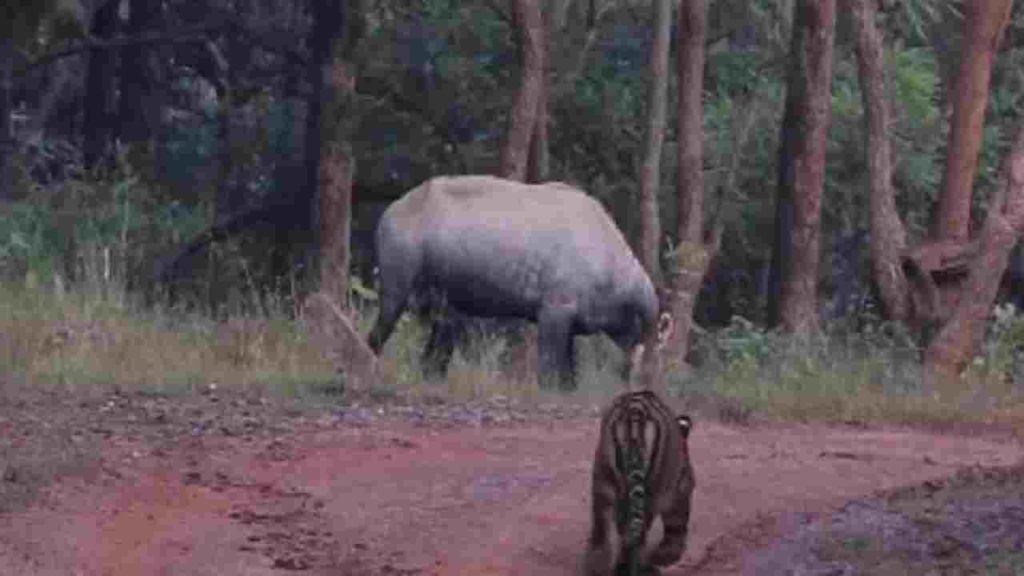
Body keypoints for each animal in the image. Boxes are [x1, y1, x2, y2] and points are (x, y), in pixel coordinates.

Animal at [585, 387, 696, 569]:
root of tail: (634, 409)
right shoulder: (680, 488)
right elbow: (677, 521)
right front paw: (669, 555)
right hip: (650, 492)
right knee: (635, 539)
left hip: (603, 484)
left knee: (602, 537)